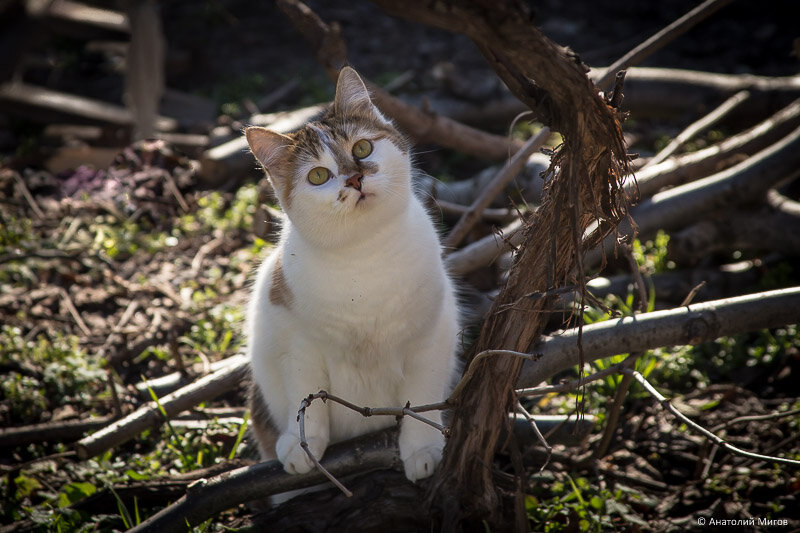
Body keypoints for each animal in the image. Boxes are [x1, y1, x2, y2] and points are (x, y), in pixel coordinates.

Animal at [244, 66, 460, 490]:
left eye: (362, 149)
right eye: (318, 175)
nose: (354, 179)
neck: (364, 257)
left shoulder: (431, 335)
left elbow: (422, 397)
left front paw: (422, 449)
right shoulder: (298, 345)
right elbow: (305, 395)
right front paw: (303, 444)